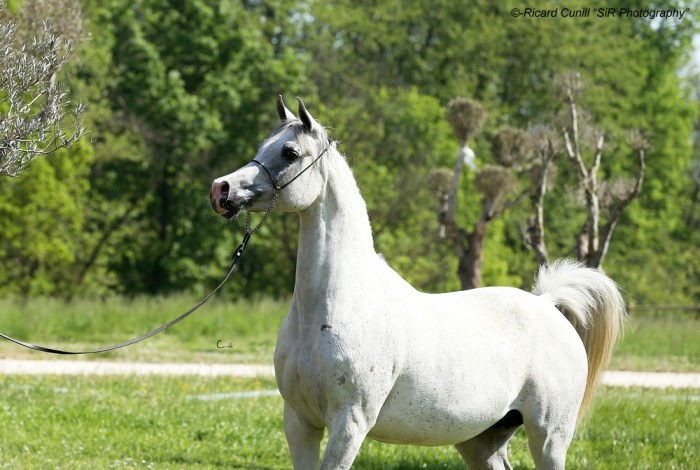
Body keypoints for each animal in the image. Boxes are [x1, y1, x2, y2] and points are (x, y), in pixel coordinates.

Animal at [210, 96, 626, 470]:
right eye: (262, 147)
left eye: (290, 152)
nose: (221, 189)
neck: (332, 307)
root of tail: (545, 304)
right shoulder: (299, 422)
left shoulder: (349, 424)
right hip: (482, 441)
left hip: (549, 438)